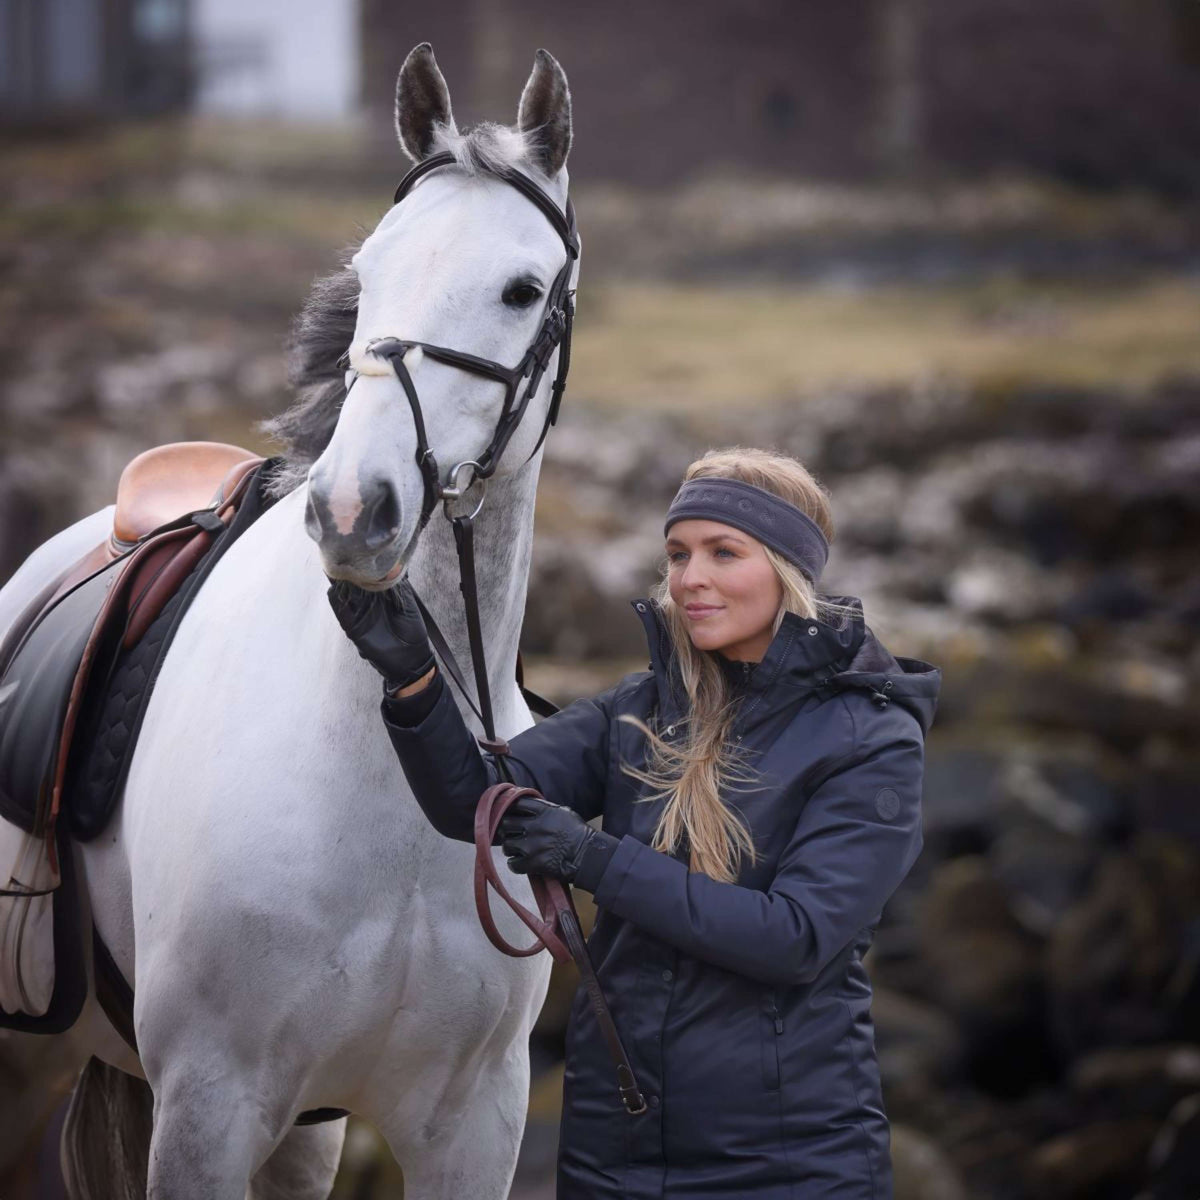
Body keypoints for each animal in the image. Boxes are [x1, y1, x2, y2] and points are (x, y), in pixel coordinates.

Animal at [1, 42, 580, 1195]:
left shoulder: (473, 1123)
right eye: (370, 270)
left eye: (522, 288)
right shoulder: (208, 1110)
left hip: (305, 1131)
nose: (354, 509)